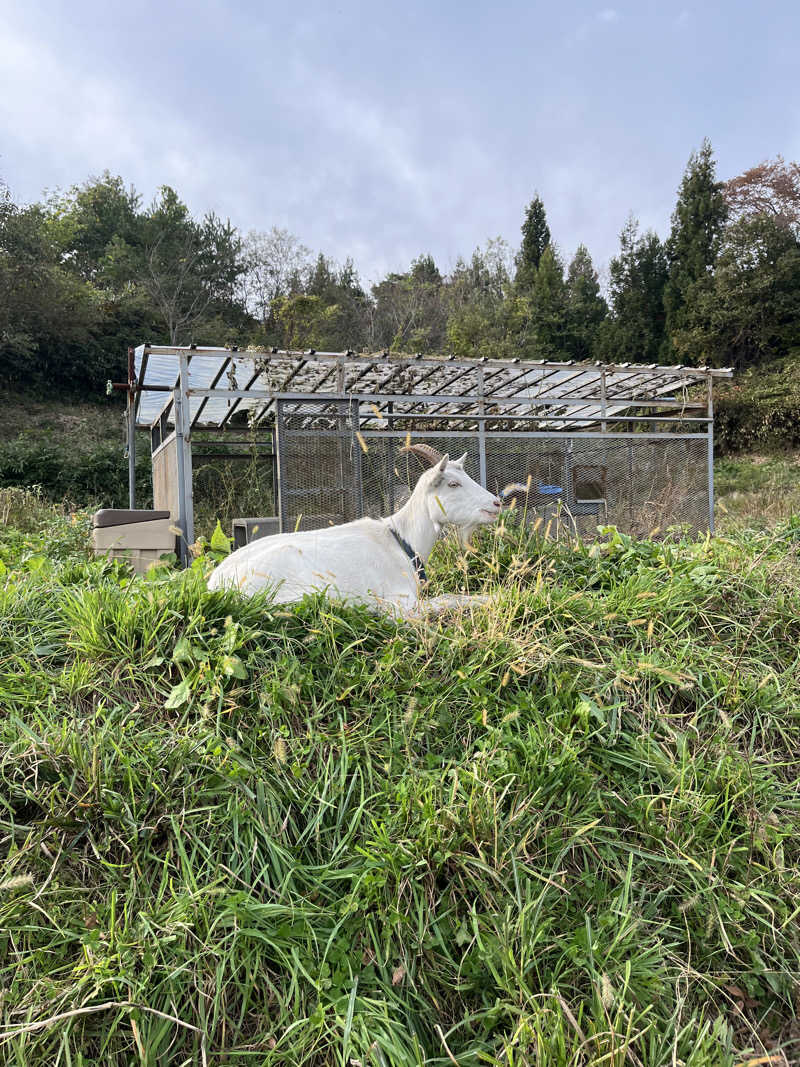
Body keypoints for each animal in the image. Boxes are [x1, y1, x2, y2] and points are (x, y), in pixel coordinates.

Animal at [210, 452, 503, 618]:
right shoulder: (403, 601)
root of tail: (215, 583)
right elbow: (447, 599)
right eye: (453, 484)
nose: (497, 503)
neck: (402, 542)